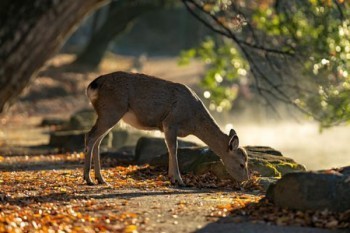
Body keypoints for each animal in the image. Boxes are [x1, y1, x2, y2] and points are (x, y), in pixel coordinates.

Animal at [84, 71, 249, 186]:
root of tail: (93, 85)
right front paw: (179, 180)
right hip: (111, 110)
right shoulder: (170, 122)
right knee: (90, 137)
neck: (193, 121)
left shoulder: (166, 127)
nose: (246, 179)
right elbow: (173, 148)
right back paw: (88, 179)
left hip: (108, 114)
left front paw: (172, 178)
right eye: (242, 164)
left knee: (98, 141)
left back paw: (101, 179)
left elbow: (170, 149)